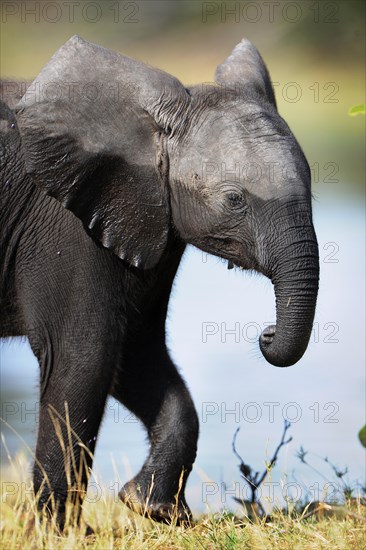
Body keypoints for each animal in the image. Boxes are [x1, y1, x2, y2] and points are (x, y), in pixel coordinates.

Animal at [0, 37, 318, 532]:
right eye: (234, 200)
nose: (265, 333)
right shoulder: (66, 225)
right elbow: (84, 355)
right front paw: (64, 534)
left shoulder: (148, 220)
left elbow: (135, 351)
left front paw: (150, 509)